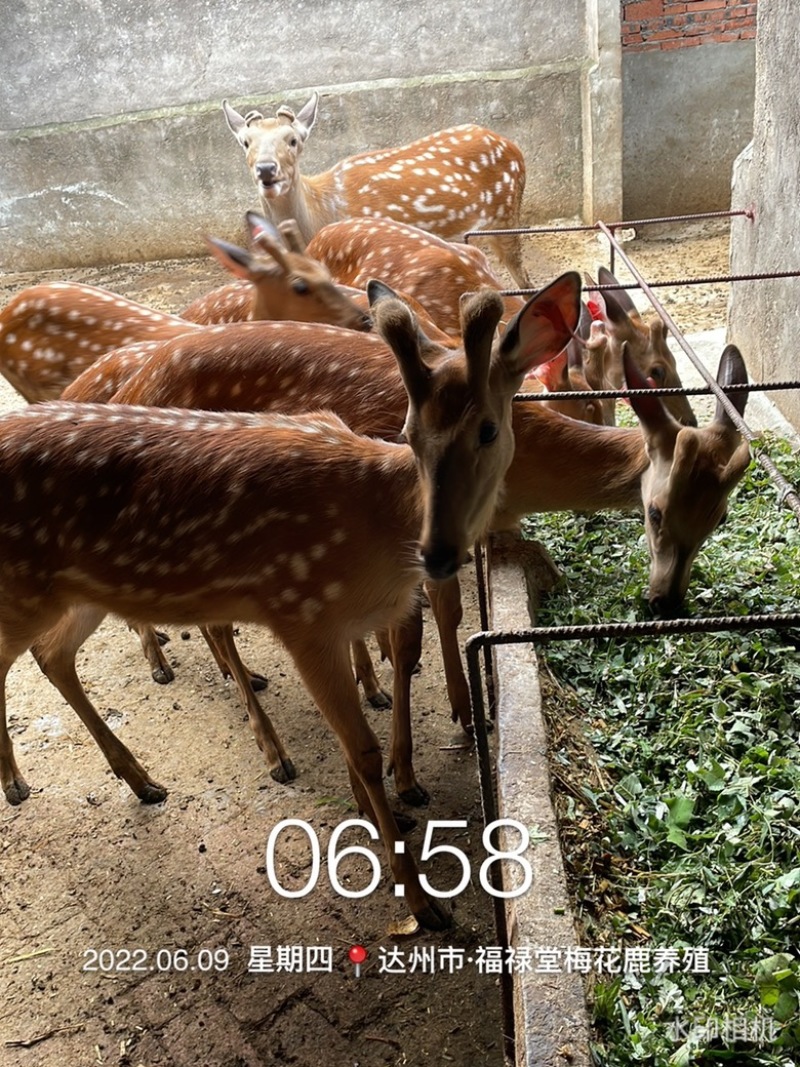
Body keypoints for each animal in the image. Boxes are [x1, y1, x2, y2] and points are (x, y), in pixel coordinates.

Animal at [0, 275, 582, 934]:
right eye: (408, 433)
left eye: (487, 429)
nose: (436, 553)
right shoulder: (302, 612)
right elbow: (365, 748)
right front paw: (421, 900)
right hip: (24, 590)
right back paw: (20, 780)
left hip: (76, 590)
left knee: (52, 654)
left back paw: (142, 781)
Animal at [105, 311, 751, 806]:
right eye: (656, 512)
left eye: (720, 517)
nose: (666, 602)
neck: (520, 472)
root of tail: (132, 385)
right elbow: (411, 637)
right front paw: (407, 773)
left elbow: (450, 616)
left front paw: (464, 714)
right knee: (212, 622)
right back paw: (269, 751)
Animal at [223, 91, 532, 288]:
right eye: (246, 142)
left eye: (293, 140)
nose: (266, 169)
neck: (321, 210)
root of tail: (513, 146)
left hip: (506, 214)